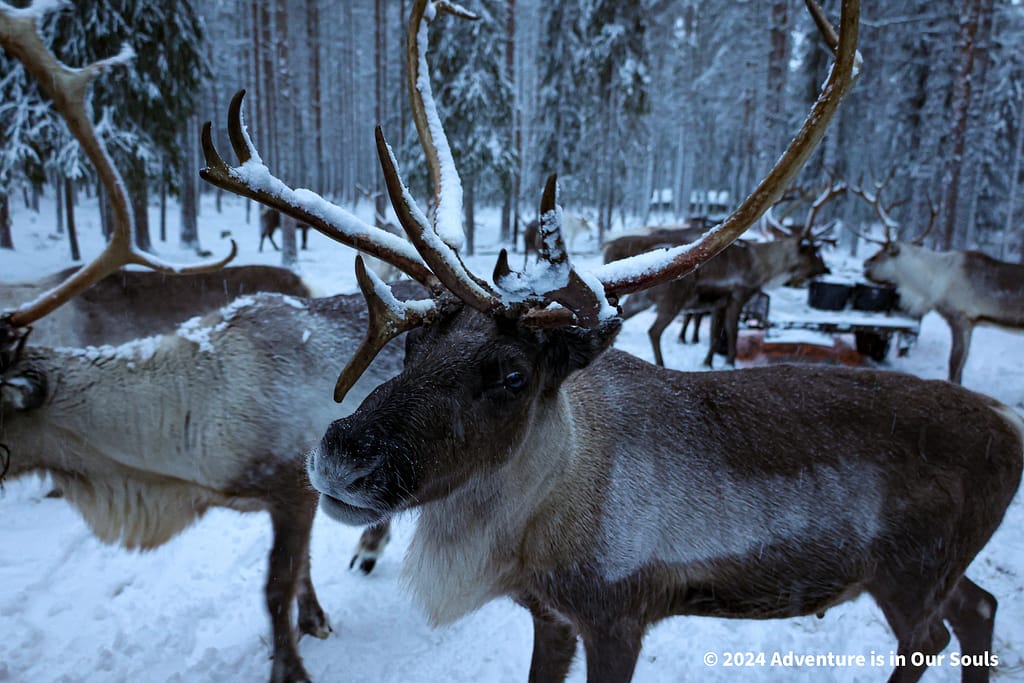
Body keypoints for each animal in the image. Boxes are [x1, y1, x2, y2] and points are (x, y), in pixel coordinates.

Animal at [850, 176, 1024, 385]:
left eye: (881, 253)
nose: (865, 264)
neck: (931, 282)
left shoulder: (961, 318)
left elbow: (954, 366)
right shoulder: (970, 323)